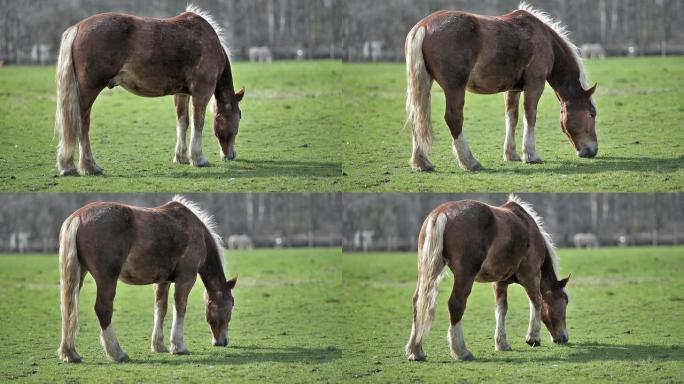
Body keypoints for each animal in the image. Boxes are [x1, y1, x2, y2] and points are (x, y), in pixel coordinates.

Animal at [54, 5, 246, 176]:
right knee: (82, 125)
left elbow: (183, 122)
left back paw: (69, 165)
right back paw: (89, 166)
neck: (208, 41)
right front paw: (198, 158)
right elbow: (198, 122)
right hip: (89, 91)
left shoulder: (181, 93)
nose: (231, 155)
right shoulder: (202, 91)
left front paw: (181, 157)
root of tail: (78, 27)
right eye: (239, 117)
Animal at [56, 195, 238, 364]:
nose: (222, 341)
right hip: (107, 279)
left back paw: (70, 353)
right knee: (103, 309)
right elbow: (180, 308)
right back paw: (117, 353)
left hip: (79, 274)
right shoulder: (186, 278)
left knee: (69, 309)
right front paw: (178, 346)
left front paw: (158, 345)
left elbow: (161, 309)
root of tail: (78, 216)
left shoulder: (163, 281)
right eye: (230, 306)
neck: (195, 230)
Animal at [406, 2, 600, 171]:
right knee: (453, 119)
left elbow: (511, 118)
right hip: (455, 88)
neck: (543, 38)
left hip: (425, 85)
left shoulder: (513, 89)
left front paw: (511, 154)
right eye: (592, 114)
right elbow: (530, 116)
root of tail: (423, 26)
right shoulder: (535, 85)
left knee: (418, 118)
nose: (593, 150)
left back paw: (421, 162)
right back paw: (469, 161)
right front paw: (531, 155)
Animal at [406, 196, 572, 362]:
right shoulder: (531, 275)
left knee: (418, 302)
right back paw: (461, 351)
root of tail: (442, 212)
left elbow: (501, 309)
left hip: (427, 270)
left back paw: (416, 351)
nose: (564, 338)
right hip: (464, 276)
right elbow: (536, 301)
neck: (528, 228)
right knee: (456, 304)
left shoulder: (500, 282)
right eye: (565, 301)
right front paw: (533, 337)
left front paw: (501, 343)